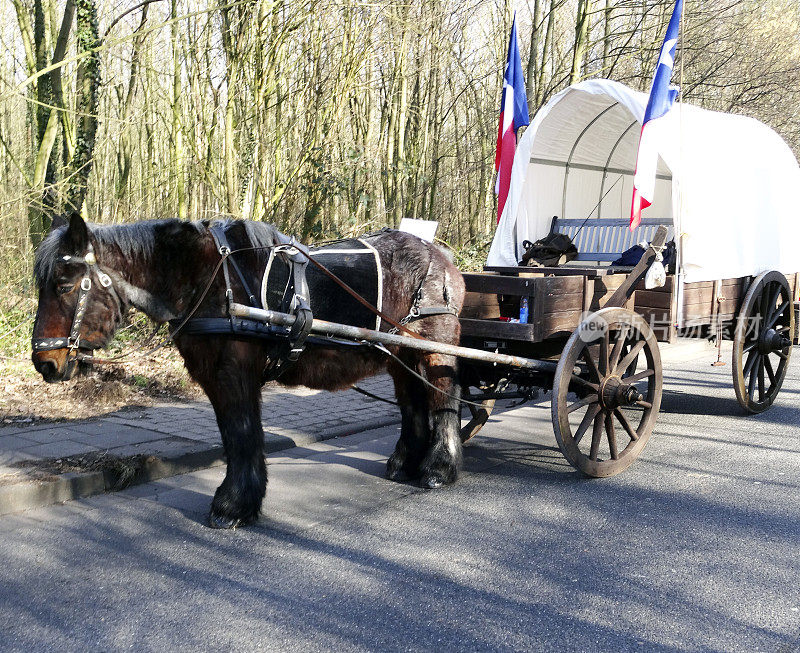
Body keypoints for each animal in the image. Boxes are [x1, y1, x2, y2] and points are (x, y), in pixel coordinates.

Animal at [31, 211, 466, 528]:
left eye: (64, 285)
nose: (44, 362)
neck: (206, 278)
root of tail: (442, 258)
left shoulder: (234, 373)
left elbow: (241, 434)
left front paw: (232, 507)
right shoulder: (216, 377)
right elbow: (233, 436)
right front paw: (241, 501)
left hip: (435, 351)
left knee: (444, 400)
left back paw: (439, 468)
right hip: (400, 355)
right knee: (413, 405)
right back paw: (405, 464)